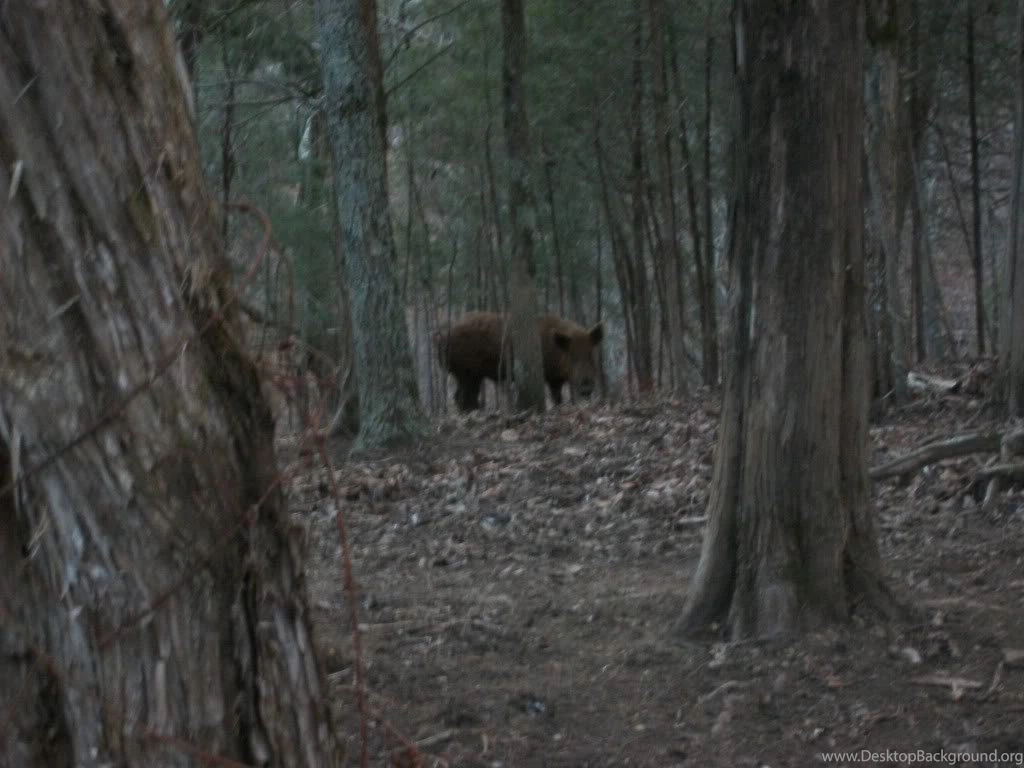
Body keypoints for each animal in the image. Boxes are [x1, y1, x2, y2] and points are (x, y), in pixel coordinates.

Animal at [434, 311, 604, 412]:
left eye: (591, 354)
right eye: (572, 356)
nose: (586, 387)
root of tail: (440, 338)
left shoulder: (556, 378)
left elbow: (558, 398)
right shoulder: (551, 378)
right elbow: (556, 396)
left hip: (469, 376)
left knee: (462, 396)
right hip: (466, 373)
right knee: (462, 397)